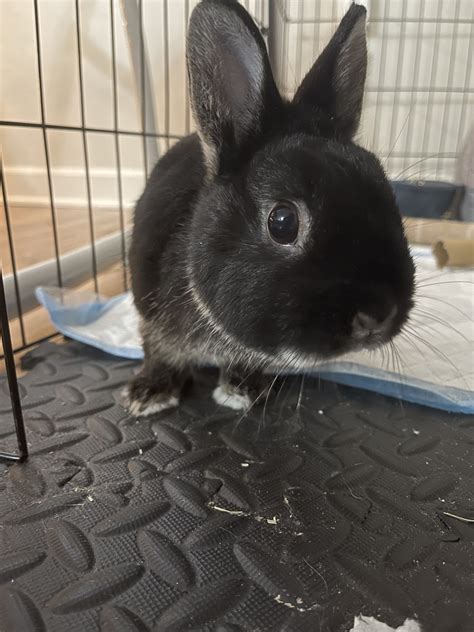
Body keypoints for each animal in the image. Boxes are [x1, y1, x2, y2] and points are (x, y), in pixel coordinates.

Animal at [126, 1, 414, 414]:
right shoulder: (151, 312)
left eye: (387, 194)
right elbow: (158, 349)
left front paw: (244, 388)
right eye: (282, 222)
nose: (379, 314)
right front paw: (150, 393)